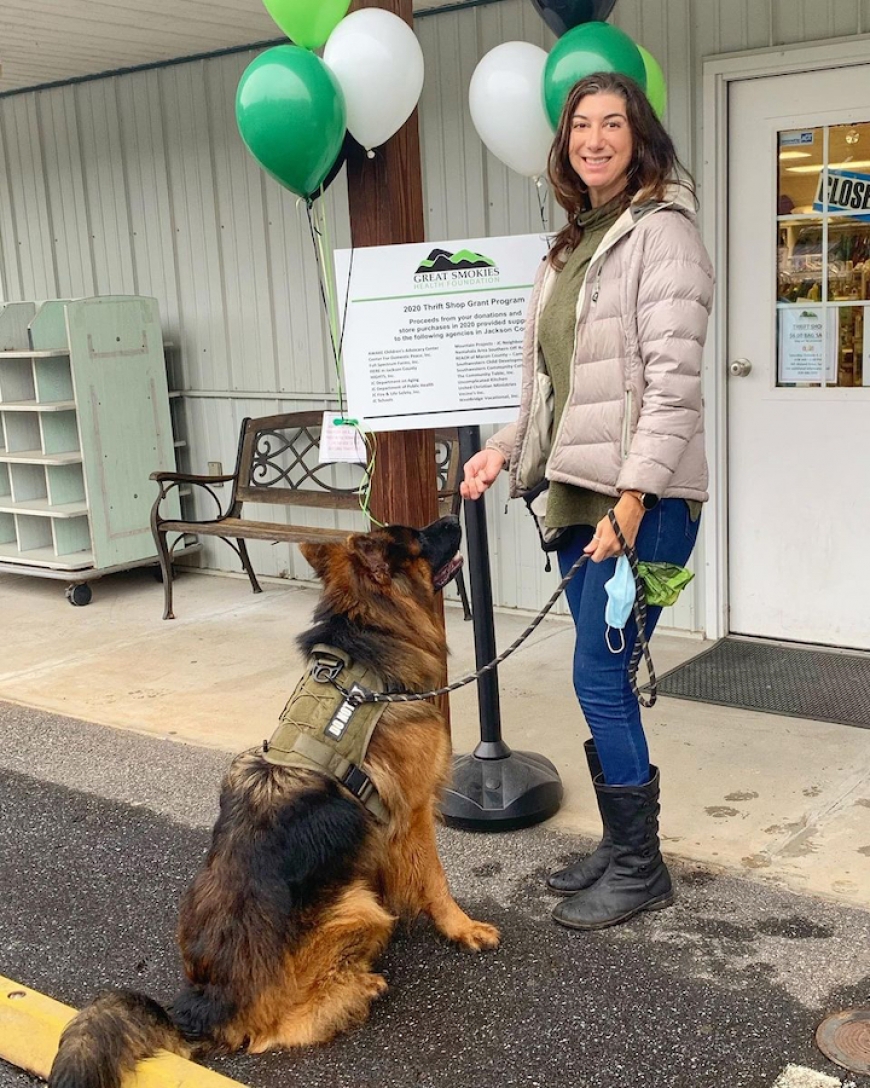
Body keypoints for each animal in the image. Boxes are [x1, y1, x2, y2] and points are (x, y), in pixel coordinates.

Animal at [51, 511, 500, 1088]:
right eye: (417, 537)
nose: (452, 515)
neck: (366, 639)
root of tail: (202, 1004)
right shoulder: (415, 812)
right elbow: (436, 881)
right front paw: (461, 928)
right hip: (356, 912)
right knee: (277, 1033)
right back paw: (359, 986)